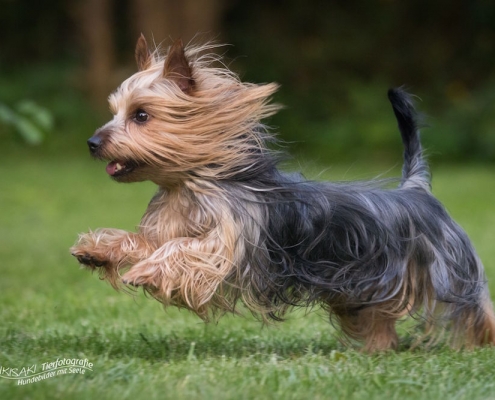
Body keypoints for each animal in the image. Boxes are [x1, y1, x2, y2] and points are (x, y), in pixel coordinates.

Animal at [70, 36, 495, 352]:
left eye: (141, 115)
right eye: (114, 112)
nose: (92, 142)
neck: (189, 186)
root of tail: (416, 189)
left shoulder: (228, 246)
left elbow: (185, 251)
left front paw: (144, 271)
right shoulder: (169, 229)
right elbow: (146, 242)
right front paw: (98, 250)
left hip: (447, 269)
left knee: (473, 306)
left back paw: (479, 342)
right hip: (360, 287)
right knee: (376, 318)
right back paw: (377, 348)